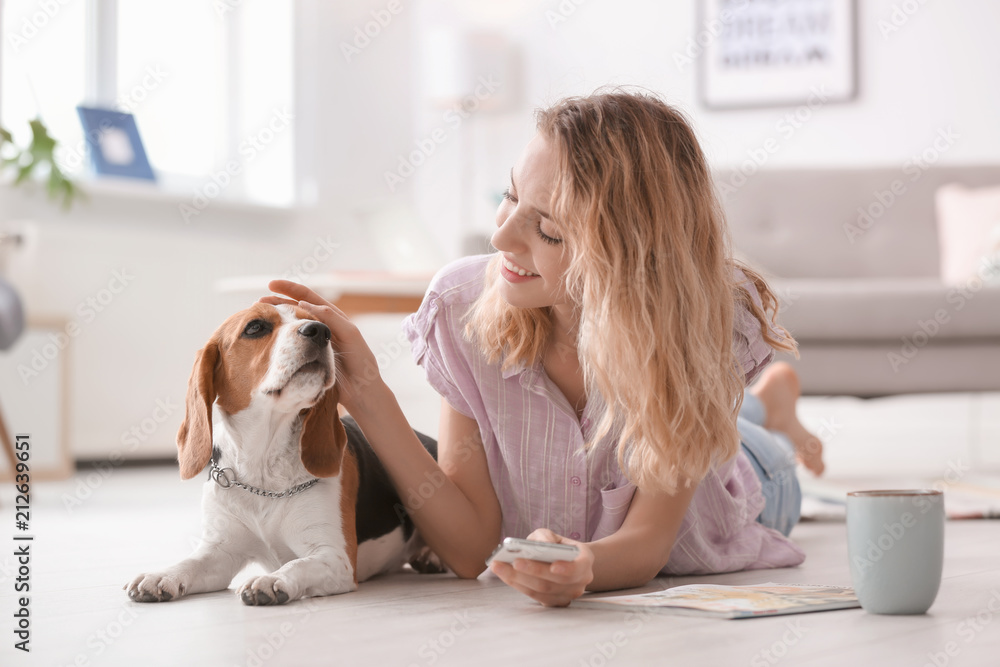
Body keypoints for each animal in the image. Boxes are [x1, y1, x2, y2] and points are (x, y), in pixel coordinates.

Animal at [125, 306, 438, 608]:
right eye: (255, 327)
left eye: (320, 323)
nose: (320, 331)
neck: (263, 467)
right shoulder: (220, 552)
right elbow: (189, 562)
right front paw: (161, 575)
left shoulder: (335, 557)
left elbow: (296, 565)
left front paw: (270, 580)